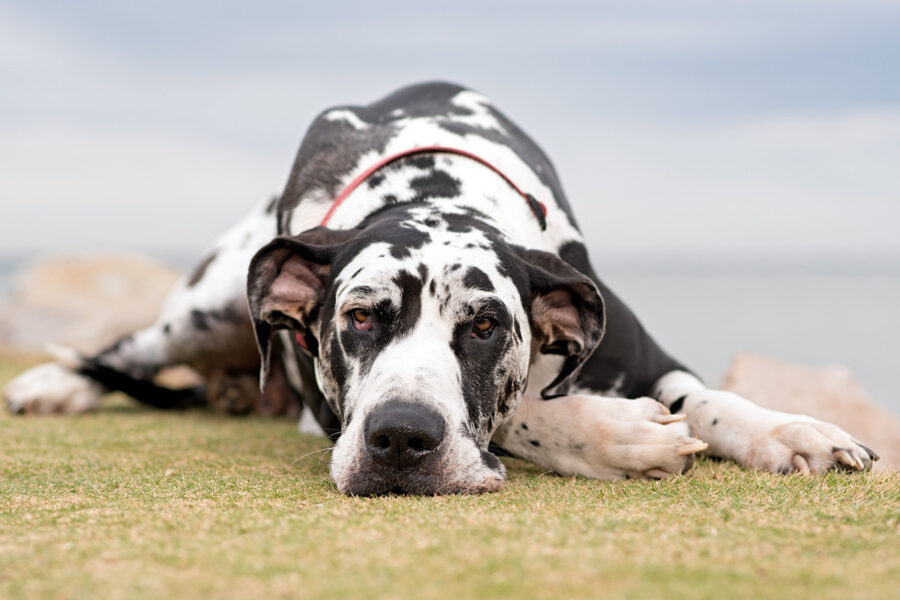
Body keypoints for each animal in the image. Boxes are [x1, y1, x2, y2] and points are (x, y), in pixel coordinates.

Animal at [5, 82, 880, 494]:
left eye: (487, 327)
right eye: (358, 319)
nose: (400, 441)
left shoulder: (639, 347)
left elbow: (708, 399)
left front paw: (790, 431)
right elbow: (523, 412)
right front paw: (614, 435)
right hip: (209, 301)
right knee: (129, 347)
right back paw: (54, 384)